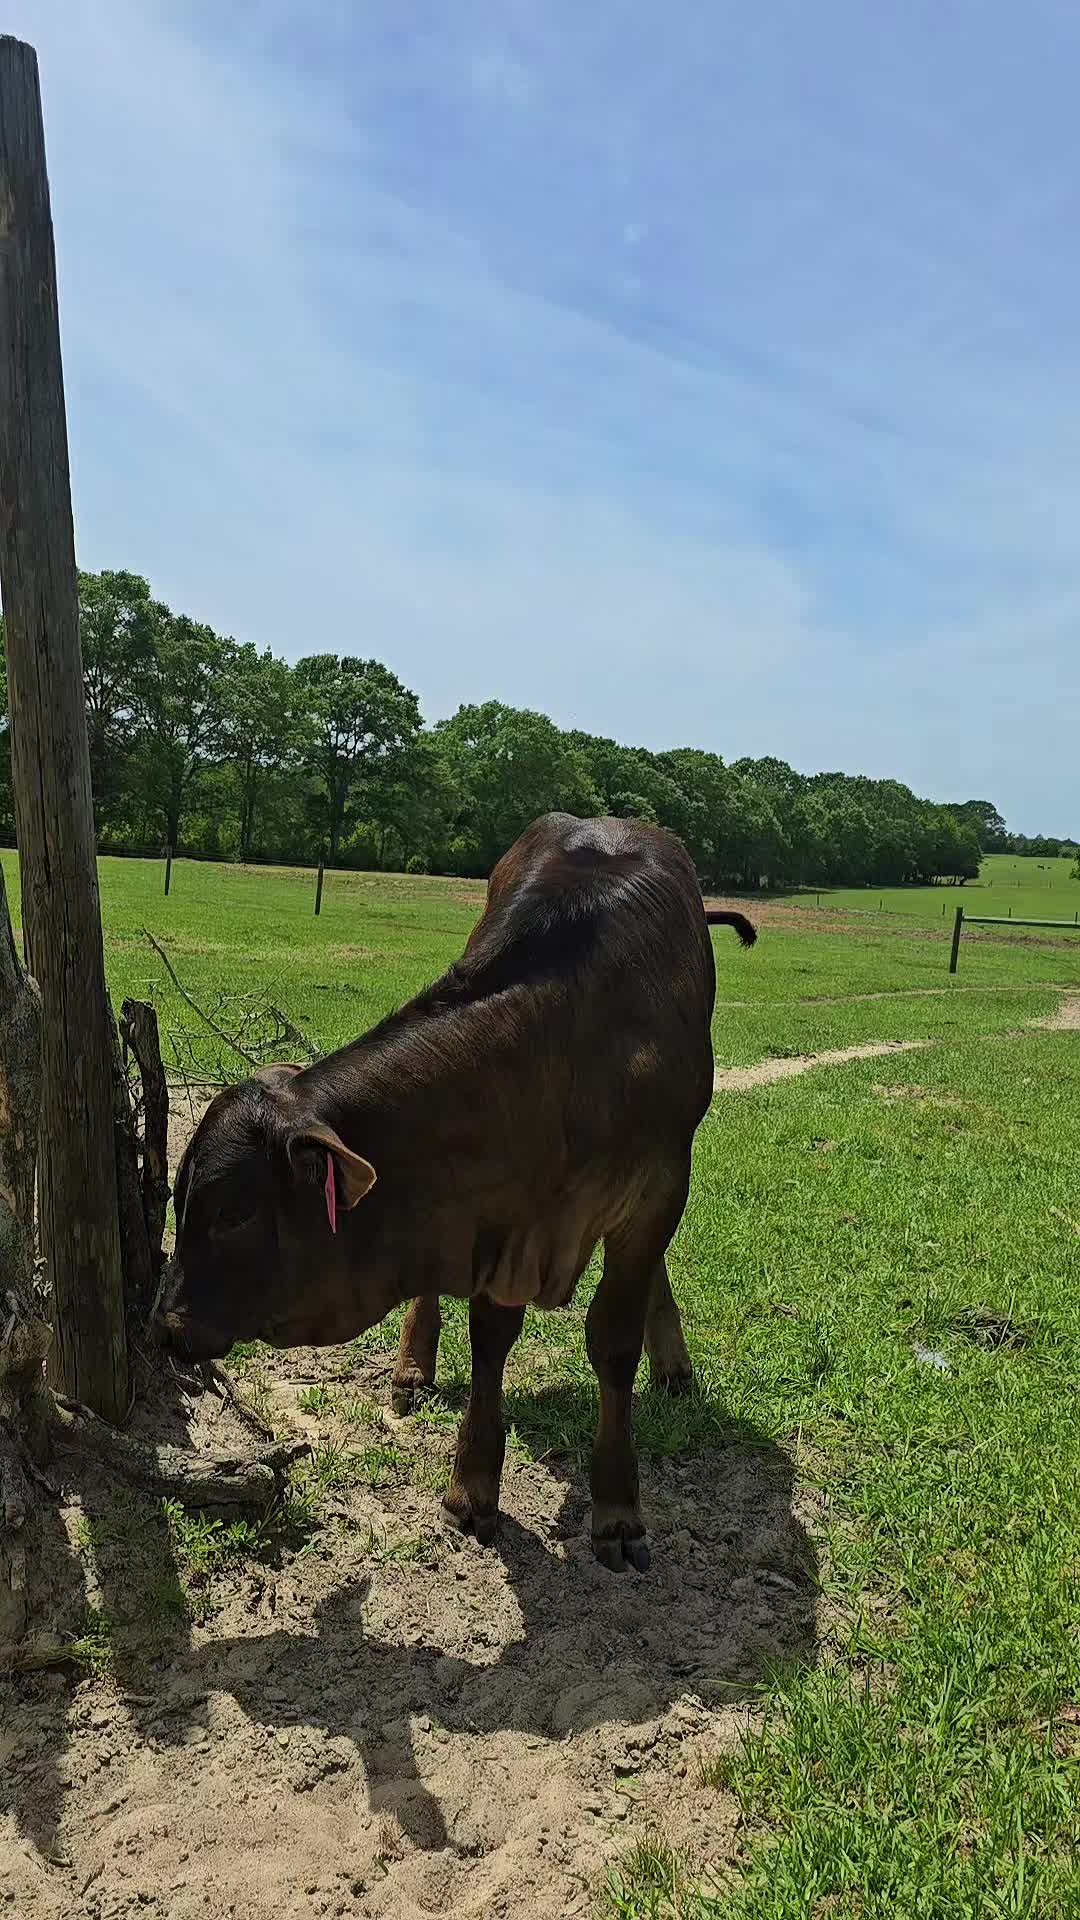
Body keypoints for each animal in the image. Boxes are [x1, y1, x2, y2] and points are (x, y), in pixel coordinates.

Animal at [163, 814, 755, 1571]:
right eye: (180, 1201)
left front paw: (619, 1508)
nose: (168, 1326)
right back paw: (413, 1365)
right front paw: (472, 1486)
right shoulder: (492, 1214)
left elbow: (614, 1341)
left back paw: (673, 1365)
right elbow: (490, 1338)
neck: (569, 1048)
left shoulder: (656, 1187)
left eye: (235, 1214)